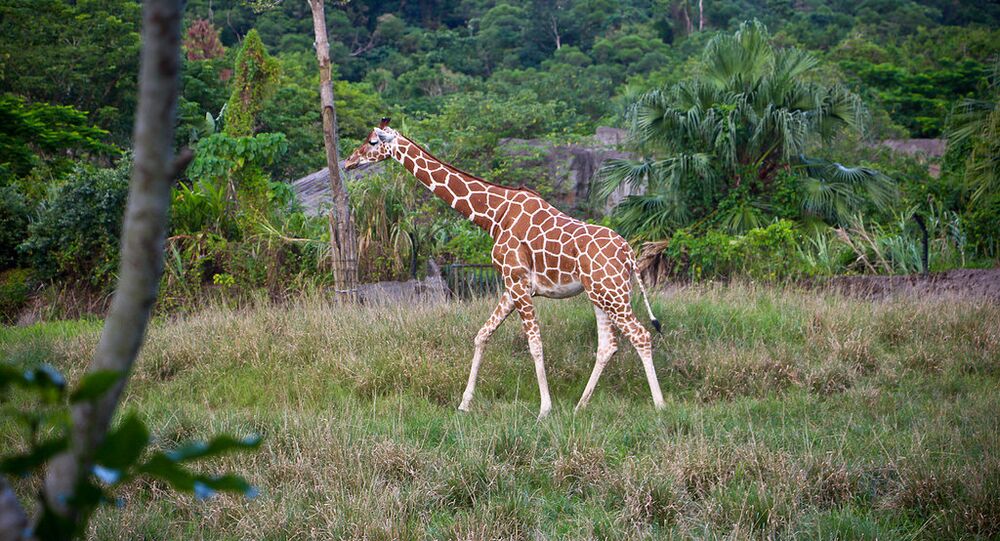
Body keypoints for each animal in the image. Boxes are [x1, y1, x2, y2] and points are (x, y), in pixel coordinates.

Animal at [344, 118, 664, 418]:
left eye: (372, 141)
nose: (348, 161)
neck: (494, 215)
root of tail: (628, 253)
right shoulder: (512, 287)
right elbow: (482, 335)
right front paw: (464, 404)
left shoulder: (518, 282)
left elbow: (534, 343)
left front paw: (544, 409)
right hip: (600, 293)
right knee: (608, 345)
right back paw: (580, 406)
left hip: (611, 292)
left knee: (641, 335)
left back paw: (660, 406)